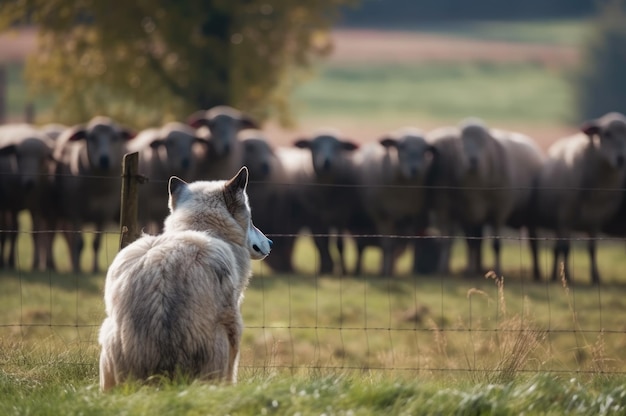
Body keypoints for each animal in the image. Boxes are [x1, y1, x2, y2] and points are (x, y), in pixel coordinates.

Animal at [0, 123, 56, 272]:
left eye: (42, 158)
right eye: (18, 155)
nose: (29, 183)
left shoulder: (35, 206)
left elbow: (35, 232)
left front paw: (35, 264)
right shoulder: (13, 204)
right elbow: (13, 231)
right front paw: (11, 261)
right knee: (5, 230)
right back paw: (4, 261)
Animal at [52, 116, 135, 272]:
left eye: (115, 137)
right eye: (91, 137)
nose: (104, 159)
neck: (97, 189)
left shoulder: (104, 212)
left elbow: (96, 244)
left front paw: (95, 268)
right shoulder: (75, 211)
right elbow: (79, 243)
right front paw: (77, 268)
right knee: (68, 238)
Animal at [98, 165, 270, 390]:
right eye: (251, 220)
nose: (271, 243)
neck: (205, 231)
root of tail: (160, 381)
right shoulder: (234, 322)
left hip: (106, 334)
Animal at [354, 127, 436, 276]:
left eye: (425, 149)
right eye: (401, 146)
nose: (415, 170)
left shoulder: (415, 215)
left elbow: (408, 245)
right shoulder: (382, 215)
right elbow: (387, 245)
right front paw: (385, 272)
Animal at [532, 112, 624, 284]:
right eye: (606, 134)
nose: (621, 159)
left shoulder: (595, 220)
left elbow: (592, 249)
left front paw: (596, 278)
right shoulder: (565, 217)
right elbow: (566, 248)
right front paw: (567, 277)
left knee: (556, 249)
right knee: (555, 247)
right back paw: (552, 275)